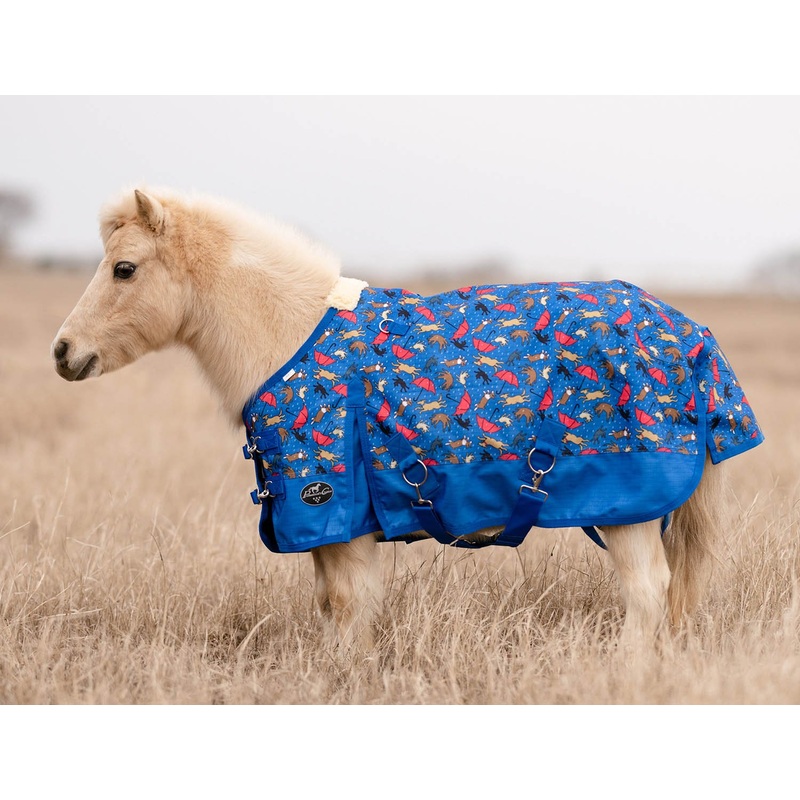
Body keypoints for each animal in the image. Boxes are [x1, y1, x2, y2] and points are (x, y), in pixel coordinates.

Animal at [51, 187, 763, 652]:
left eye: (124, 268)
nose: (63, 352)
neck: (293, 338)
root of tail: (691, 336)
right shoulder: (332, 528)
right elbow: (335, 609)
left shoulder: (337, 517)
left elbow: (349, 607)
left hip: (628, 511)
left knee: (647, 593)